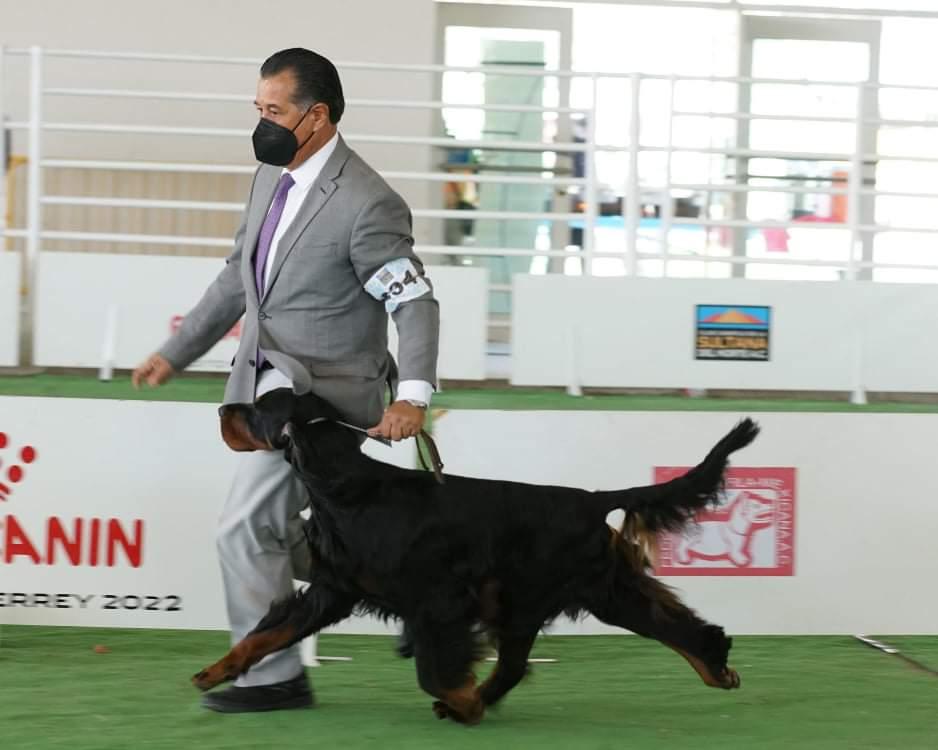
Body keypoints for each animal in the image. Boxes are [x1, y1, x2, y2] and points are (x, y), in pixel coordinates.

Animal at [194, 388, 756, 724]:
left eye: (258, 408)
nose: (222, 409)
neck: (348, 490)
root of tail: (592, 499)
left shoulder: (438, 601)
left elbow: (433, 667)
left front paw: (459, 696)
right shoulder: (334, 589)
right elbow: (266, 634)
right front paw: (215, 672)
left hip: (553, 593)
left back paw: (469, 707)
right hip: (578, 593)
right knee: (673, 626)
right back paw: (717, 668)